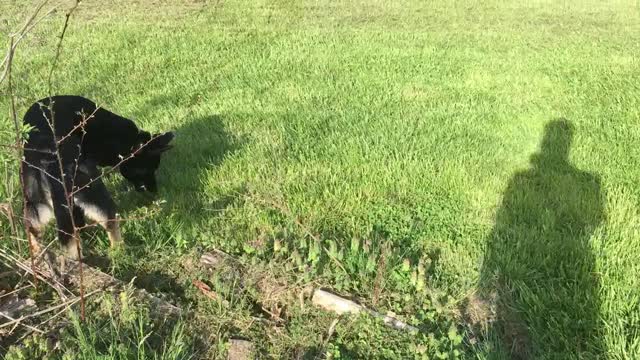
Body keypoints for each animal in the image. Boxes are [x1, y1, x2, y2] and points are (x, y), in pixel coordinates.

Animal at [22, 95, 174, 258]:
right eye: (148, 169)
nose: (155, 192)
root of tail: (47, 157)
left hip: (34, 201)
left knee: (31, 226)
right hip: (93, 190)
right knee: (109, 221)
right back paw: (118, 250)